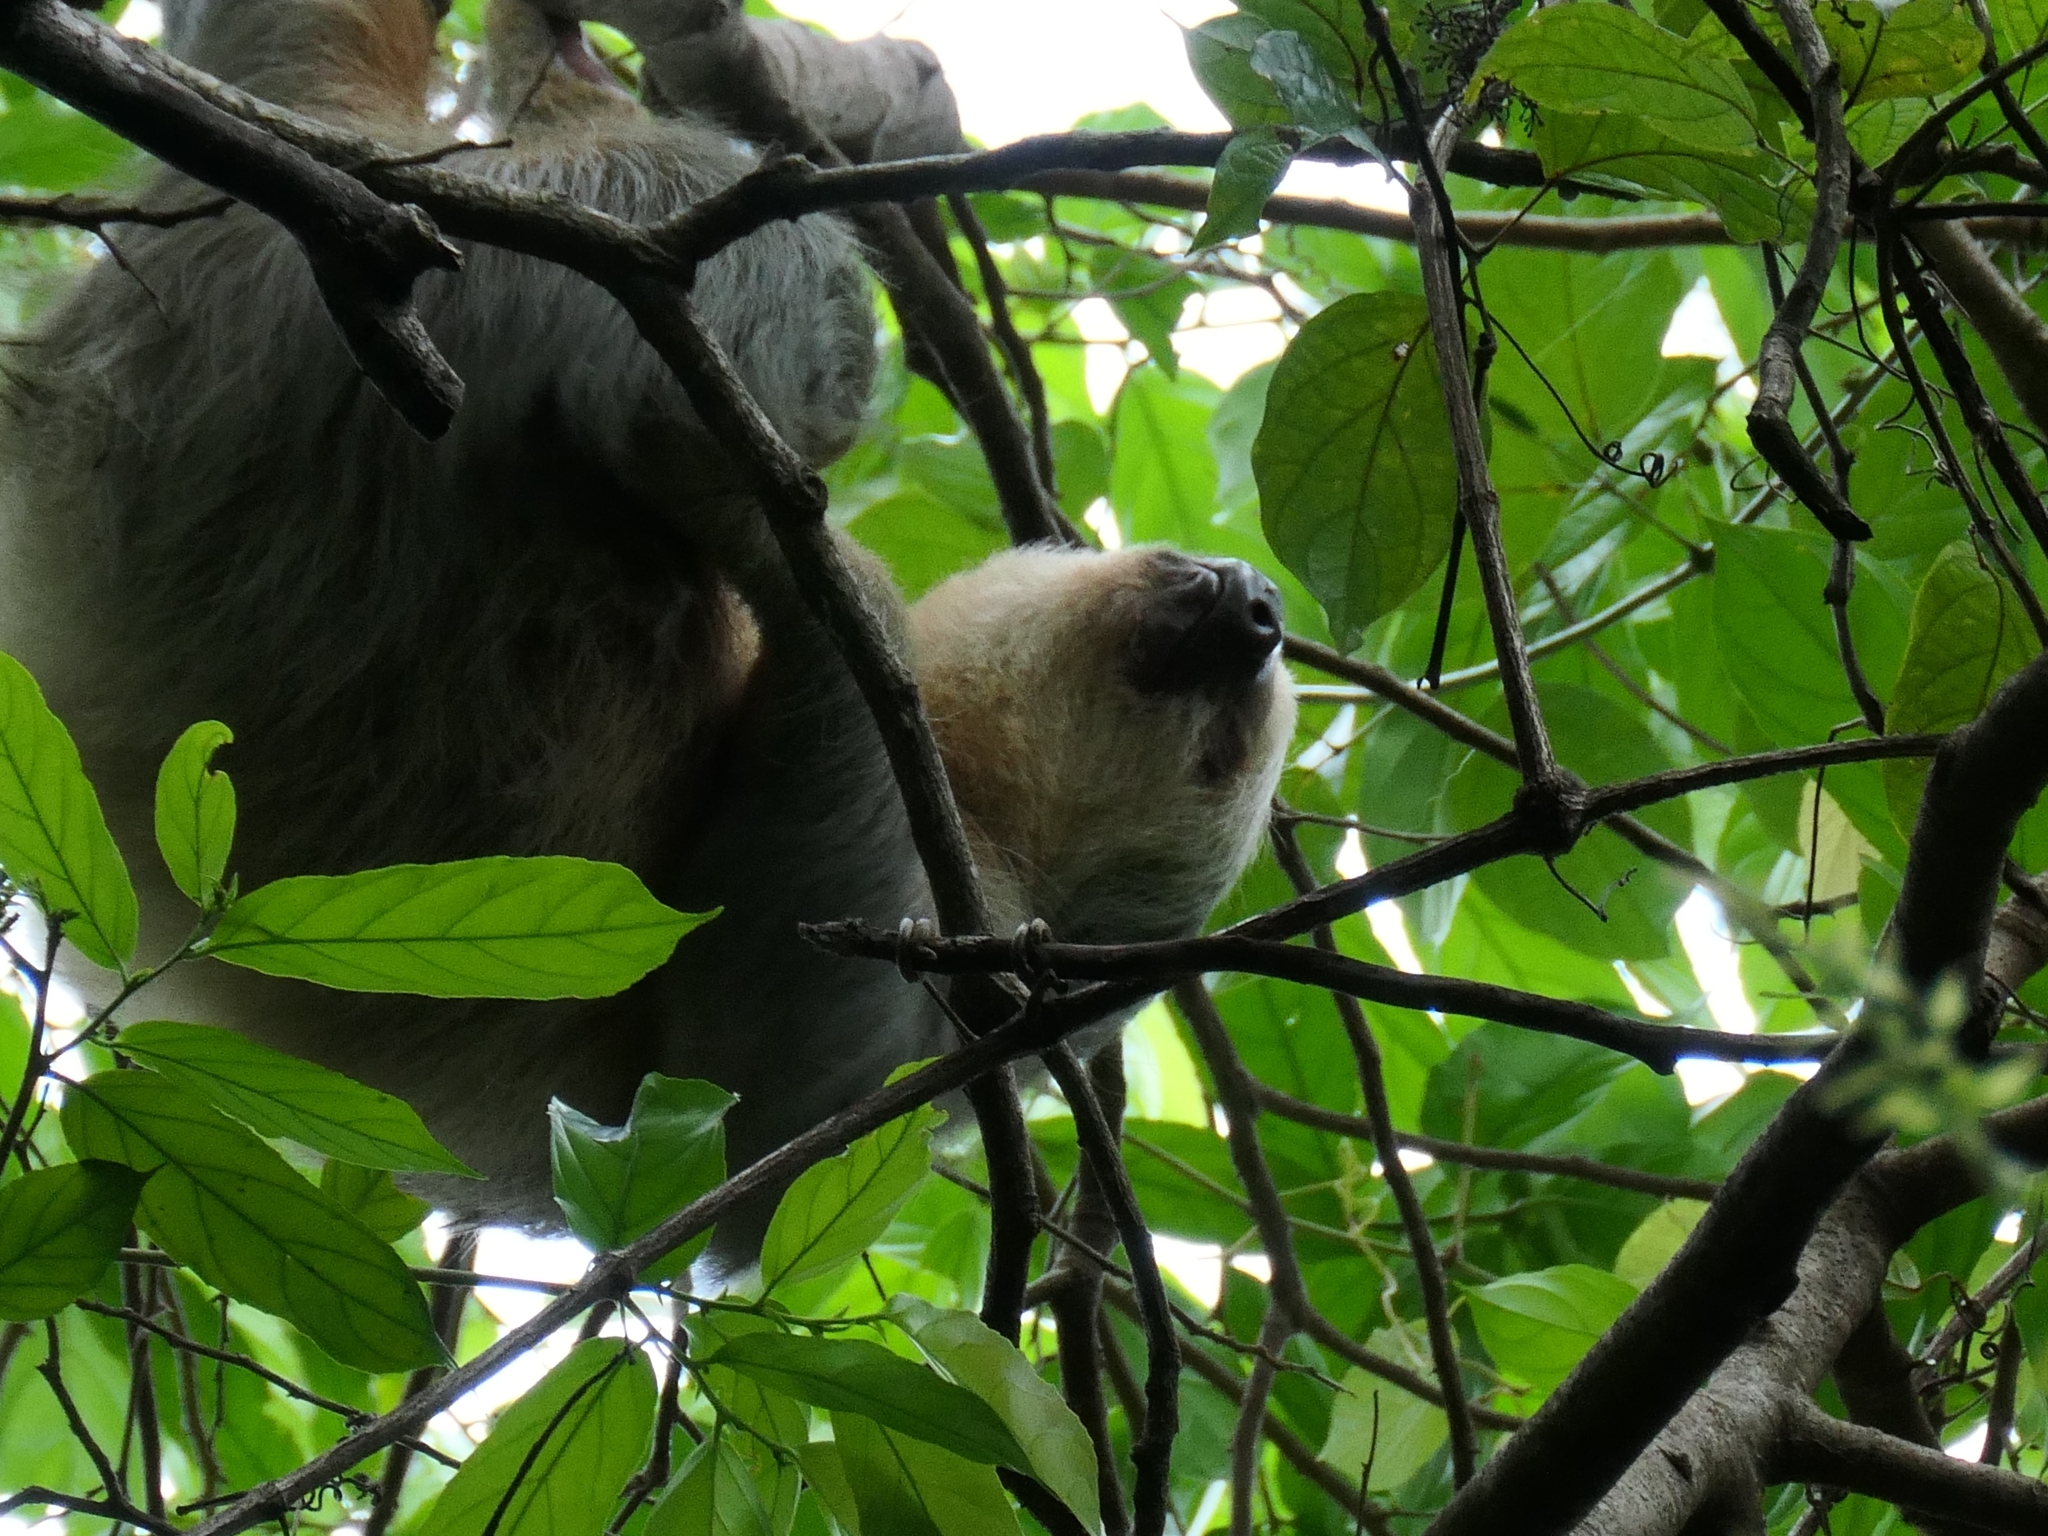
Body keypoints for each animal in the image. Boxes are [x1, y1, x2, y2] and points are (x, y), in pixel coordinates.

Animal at [0, 0, 1296, 1256]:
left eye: (1221, 741)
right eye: (1232, 681)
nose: (1258, 605)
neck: (978, 802)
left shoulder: (936, 988)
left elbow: (760, 1062)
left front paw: (797, 548)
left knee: (787, 298)